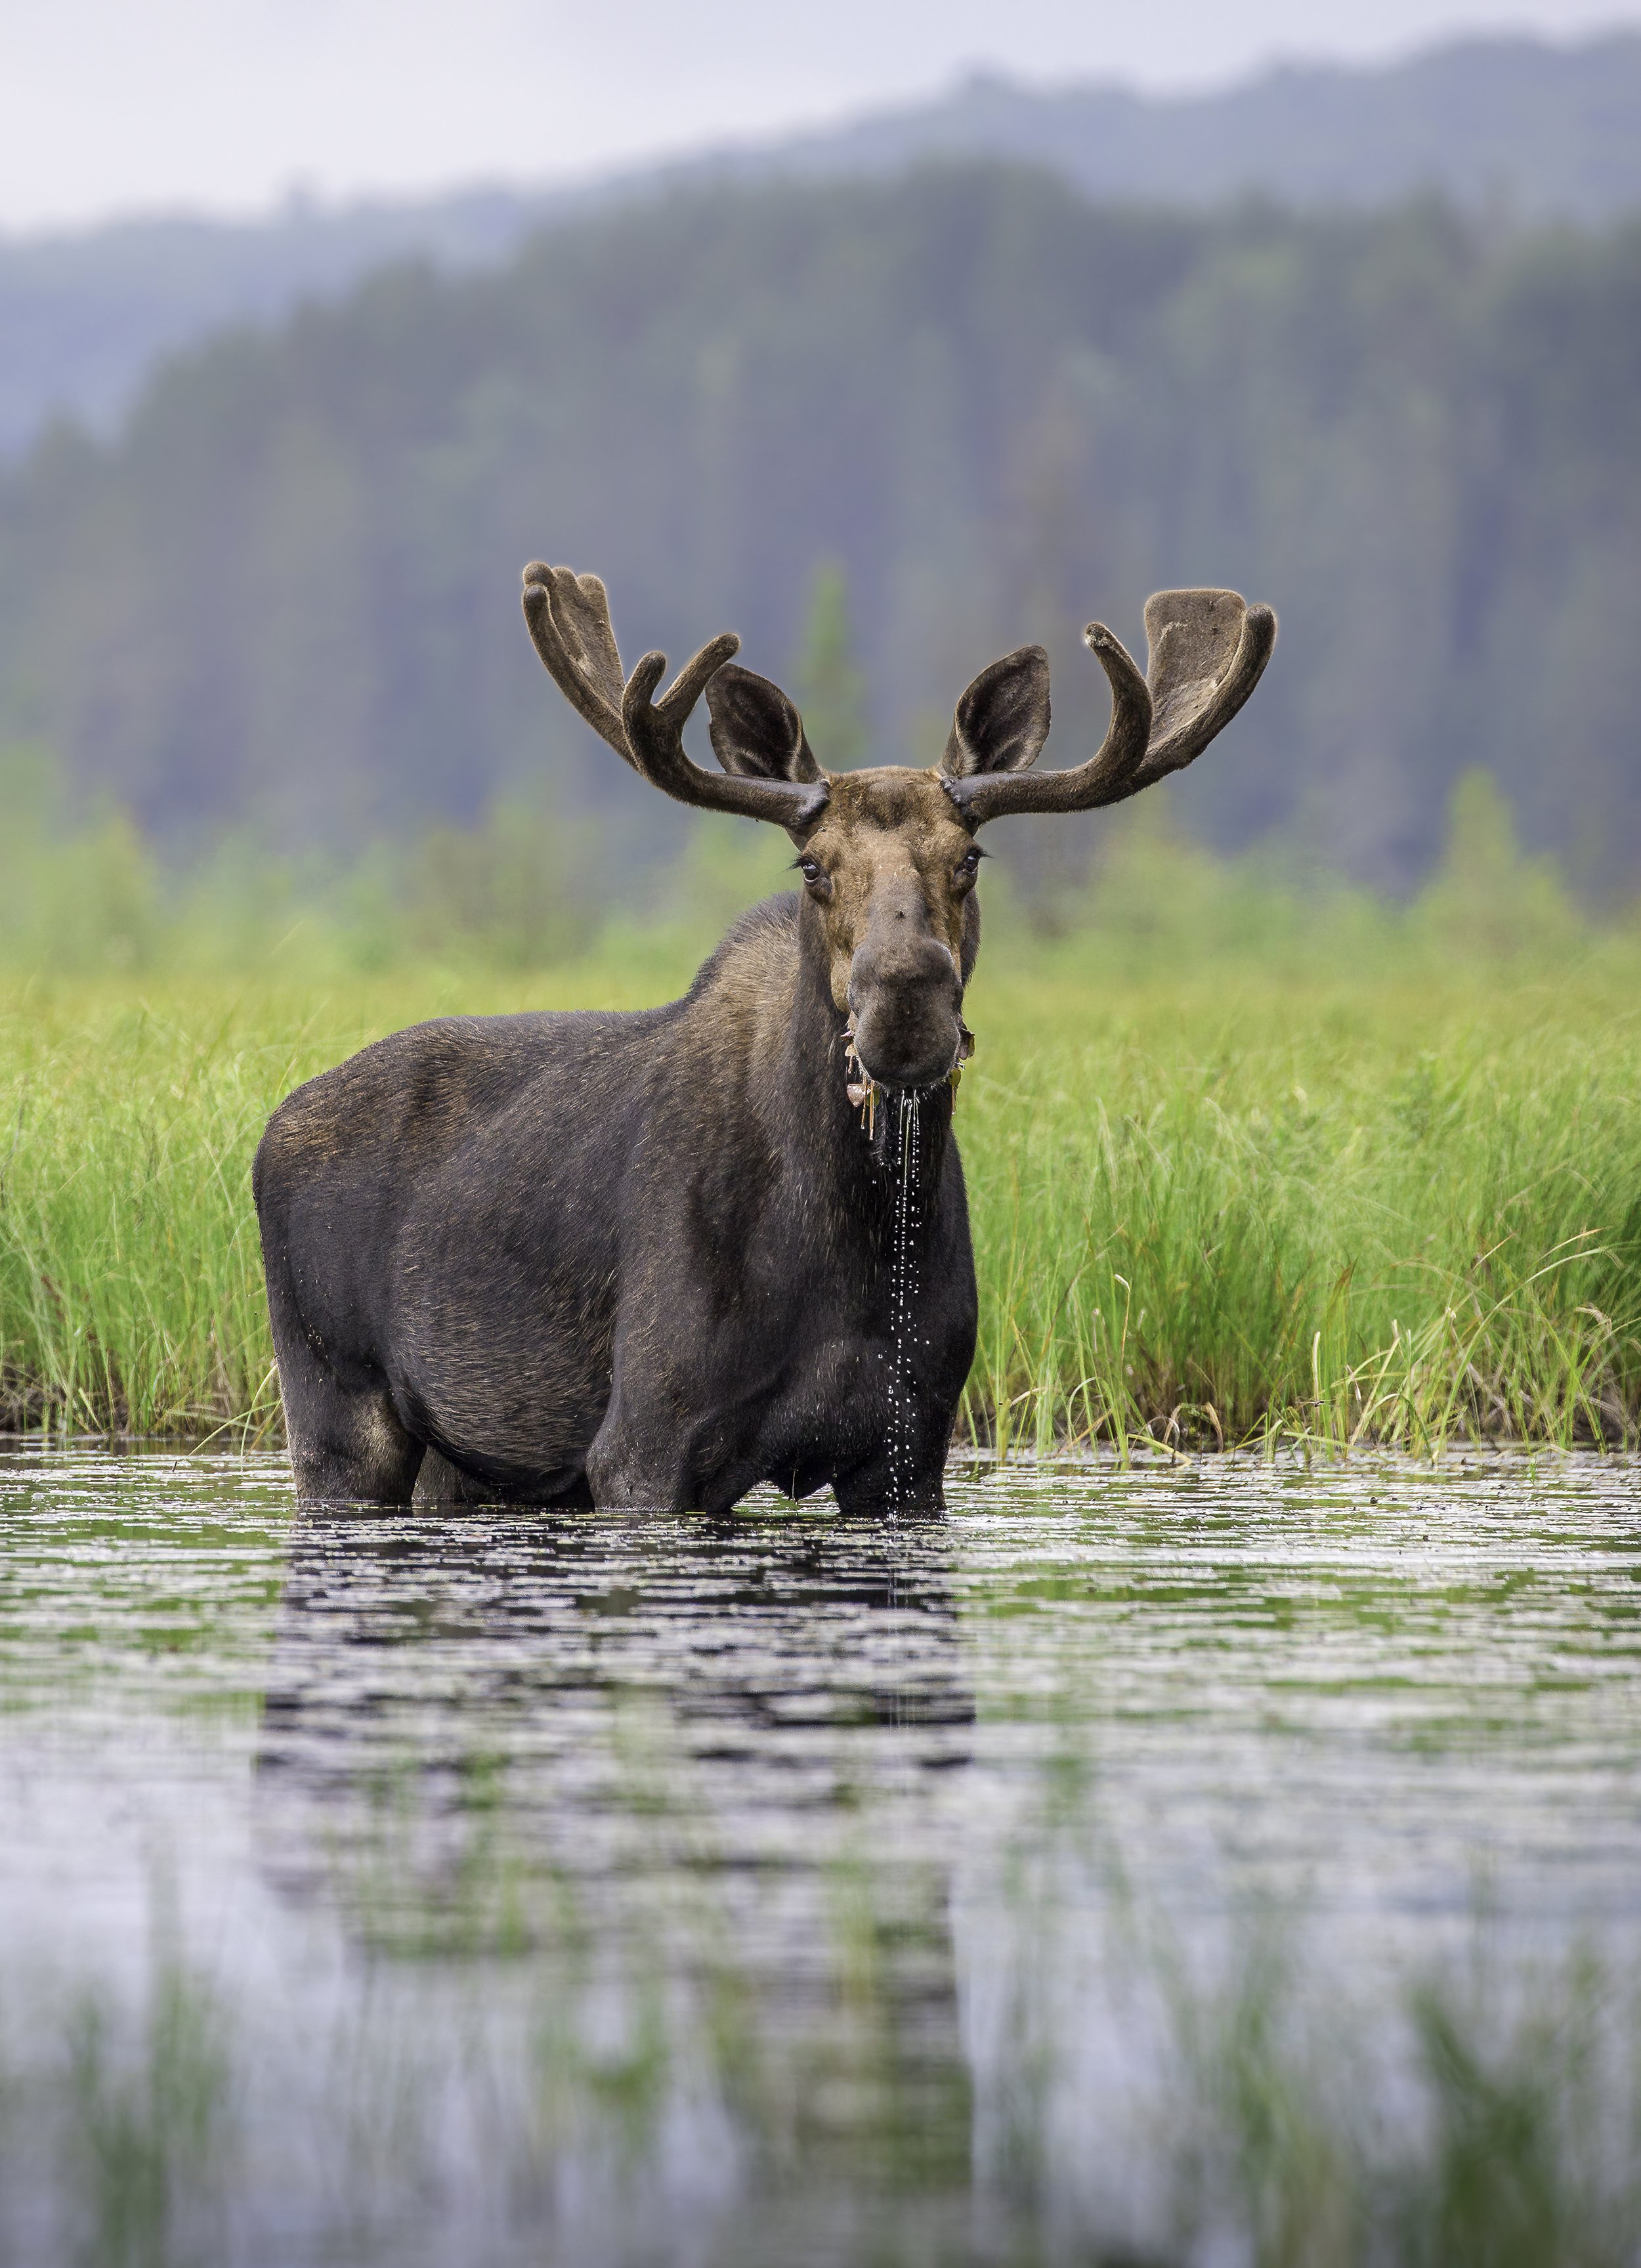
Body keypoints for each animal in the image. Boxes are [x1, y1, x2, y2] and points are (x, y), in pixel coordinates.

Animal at [253, 565, 1275, 1512]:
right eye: (812, 866)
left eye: (970, 858)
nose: (906, 1000)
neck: (851, 1240)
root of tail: (272, 1130)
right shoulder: (644, 1444)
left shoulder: (911, 1447)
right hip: (337, 1409)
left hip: (465, 1460)